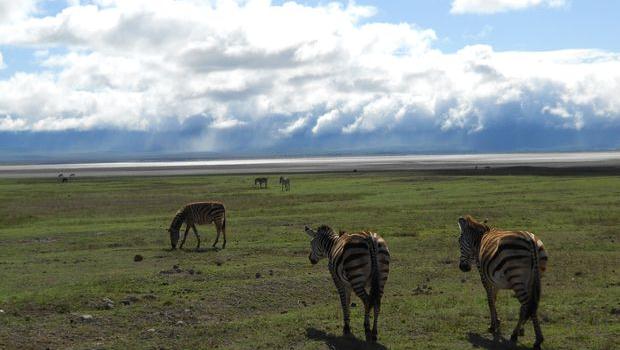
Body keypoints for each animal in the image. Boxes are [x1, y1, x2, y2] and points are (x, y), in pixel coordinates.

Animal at [456, 215, 548, 348]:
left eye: (459, 241)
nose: (463, 267)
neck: (479, 239)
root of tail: (531, 241)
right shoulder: (495, 279)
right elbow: (494, 298)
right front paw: (498, 322)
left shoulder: (484, 276)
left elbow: (490, 299)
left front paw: (492, 326)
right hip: (533, 279)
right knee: (528, 306)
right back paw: (518, 332)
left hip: (517, 279)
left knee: (526, 305)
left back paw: (536, 339)